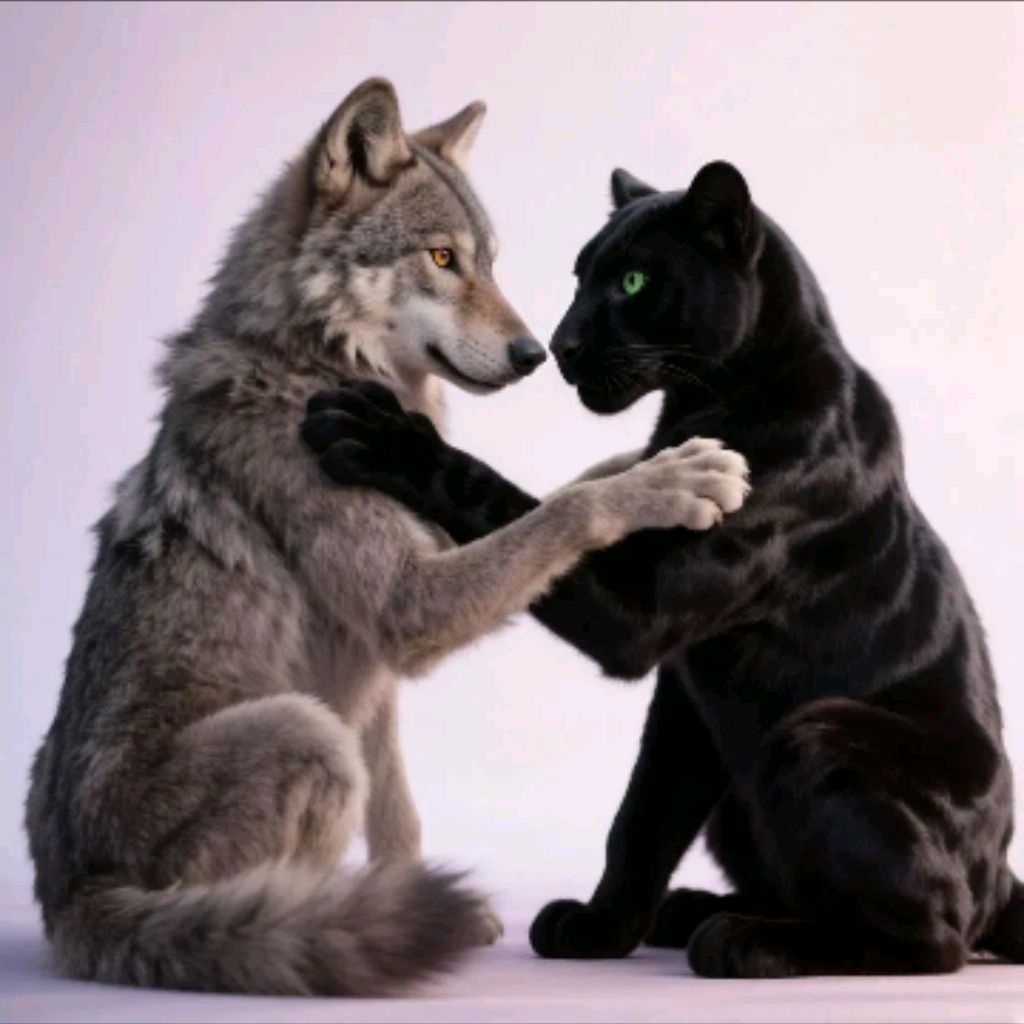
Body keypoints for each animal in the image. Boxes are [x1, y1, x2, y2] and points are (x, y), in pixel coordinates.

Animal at [24, 79, 752, 996]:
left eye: (488, 261)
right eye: (441, 259)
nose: (537, 354)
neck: (311, 367)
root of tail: (66, 900)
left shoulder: (381, 653)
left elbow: (400, 808)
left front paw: (672, 456)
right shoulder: (408, 607)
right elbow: (566, 511)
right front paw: (669, 484)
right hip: (309, 736)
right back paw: (310, 928)